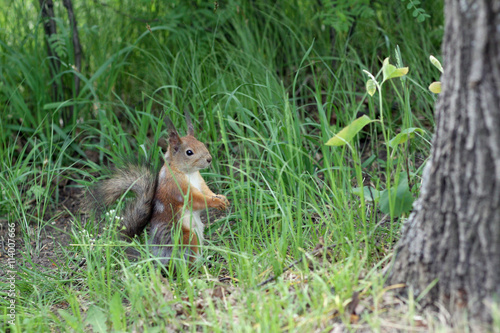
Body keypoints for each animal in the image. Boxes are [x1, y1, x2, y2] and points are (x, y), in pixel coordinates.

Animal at [88, 113, 230, 264]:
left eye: (202, 144)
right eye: (189, 152)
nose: (209, 159)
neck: (188, 173)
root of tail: (158, 258)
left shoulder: (201, 183)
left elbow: (208, 192)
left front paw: (222, 198)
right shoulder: (177, 189)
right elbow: (196, 200)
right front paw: (215, 202)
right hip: (186, 237)